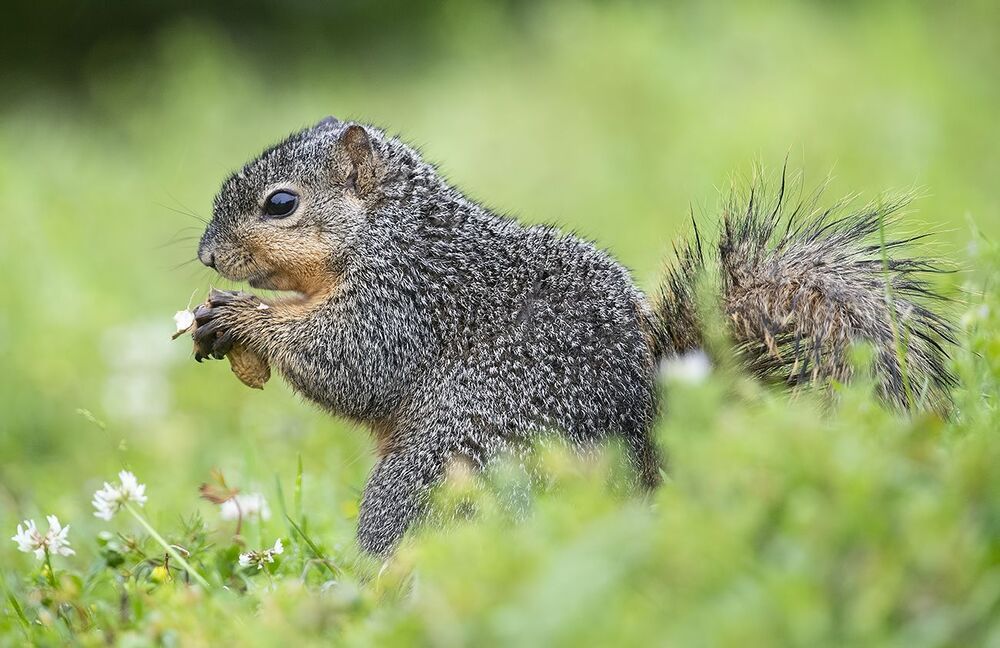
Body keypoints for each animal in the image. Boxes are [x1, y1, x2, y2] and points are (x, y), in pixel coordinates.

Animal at [192, 116, 956, 555]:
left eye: (281, 204)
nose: (205, 256)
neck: (391, 229)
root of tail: (643, 474)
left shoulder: (408, 299)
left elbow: (349, 362)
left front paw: (242, 317)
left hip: (436, 477)